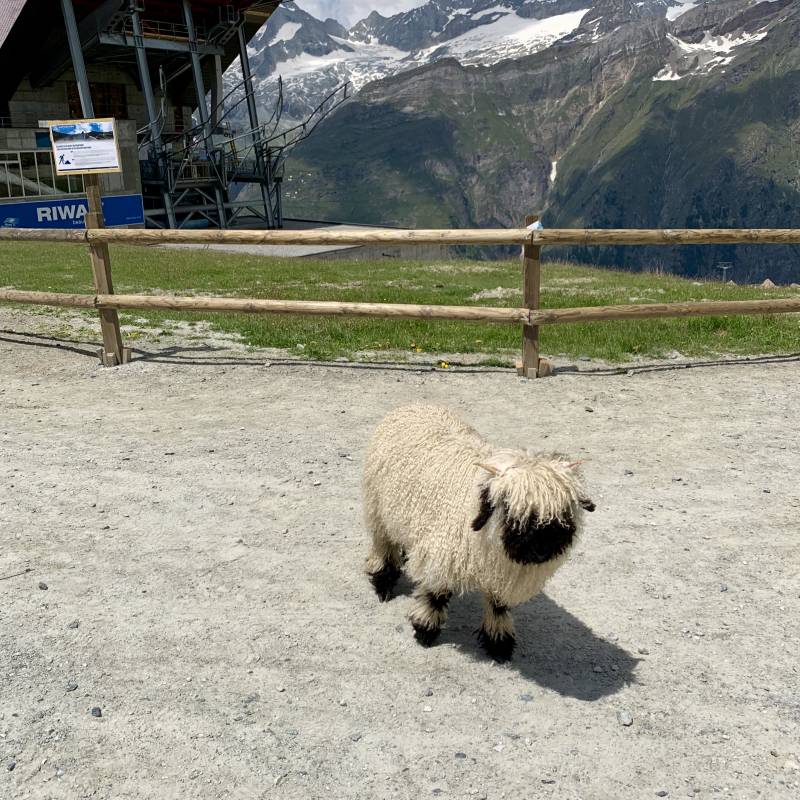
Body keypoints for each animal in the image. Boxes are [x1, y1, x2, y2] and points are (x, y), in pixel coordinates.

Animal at [364, 406, 592, 664]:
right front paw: (425, 630)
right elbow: (435, 595)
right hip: (378, 508)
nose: (542, 550)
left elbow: (498, 605)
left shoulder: (497, 573)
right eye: (508, 507)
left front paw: (499, 642)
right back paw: (383, 582)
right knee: (383, 546)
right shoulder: (441, 555)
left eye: (566, 512)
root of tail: (413, 405)